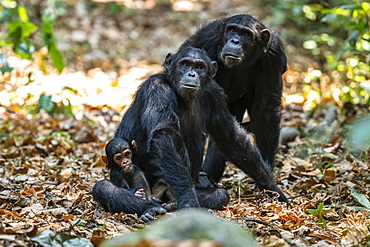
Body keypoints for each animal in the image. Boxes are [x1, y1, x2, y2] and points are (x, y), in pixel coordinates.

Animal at [112, 45, 286, 211]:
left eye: (200, 67)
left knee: (219, 193)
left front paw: (273, 189)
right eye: (185, 64)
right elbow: (165, 134)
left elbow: (229, 136)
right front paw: (188, 198)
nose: (191, 74)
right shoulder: (157, 90)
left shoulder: (215, 95)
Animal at [182, 13, 290, 183]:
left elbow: (265, 110)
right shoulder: (206, 45)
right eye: (232, 30)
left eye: (246, 34)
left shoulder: (274, 56)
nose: (235, 41)